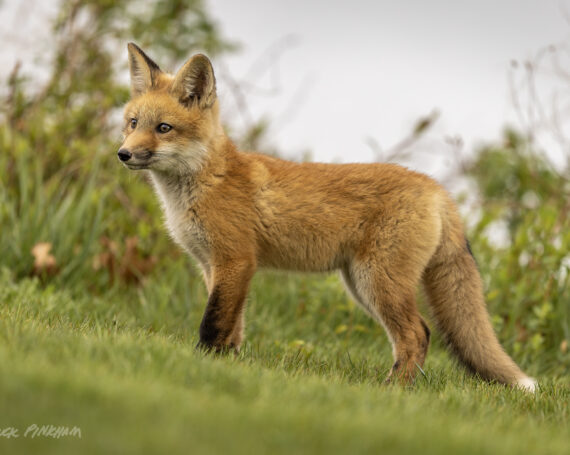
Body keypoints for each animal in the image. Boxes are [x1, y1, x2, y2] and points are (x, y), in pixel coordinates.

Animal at [117, 42, 536, 392]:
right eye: (133, 123)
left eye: (164, 128)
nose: (123, 154)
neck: (206, 182)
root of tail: (436, 188)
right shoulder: (214, 266)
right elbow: (233, 328)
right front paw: (226, 366)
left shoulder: (236, 260)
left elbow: (212, 324)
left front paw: (200, 365)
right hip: (361, 285)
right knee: (419, 335)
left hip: (378, 283)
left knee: (418, 335)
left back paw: (393, 393)